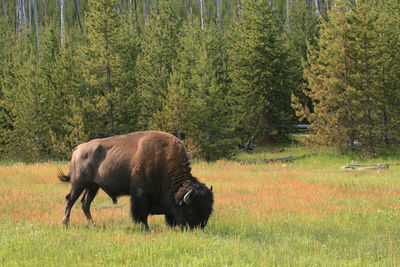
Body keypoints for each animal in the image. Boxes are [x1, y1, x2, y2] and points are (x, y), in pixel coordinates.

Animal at [58, 131, 214, 230]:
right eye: (192, 209)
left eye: (208, 208)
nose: (200, 227)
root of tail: (78, 149)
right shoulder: (140, 194)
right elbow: (141, 214)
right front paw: (145, 228)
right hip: (79, 184)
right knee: (70, 200)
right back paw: (65, 223)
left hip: (93, 186)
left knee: (85, 203)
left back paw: (93, 224)